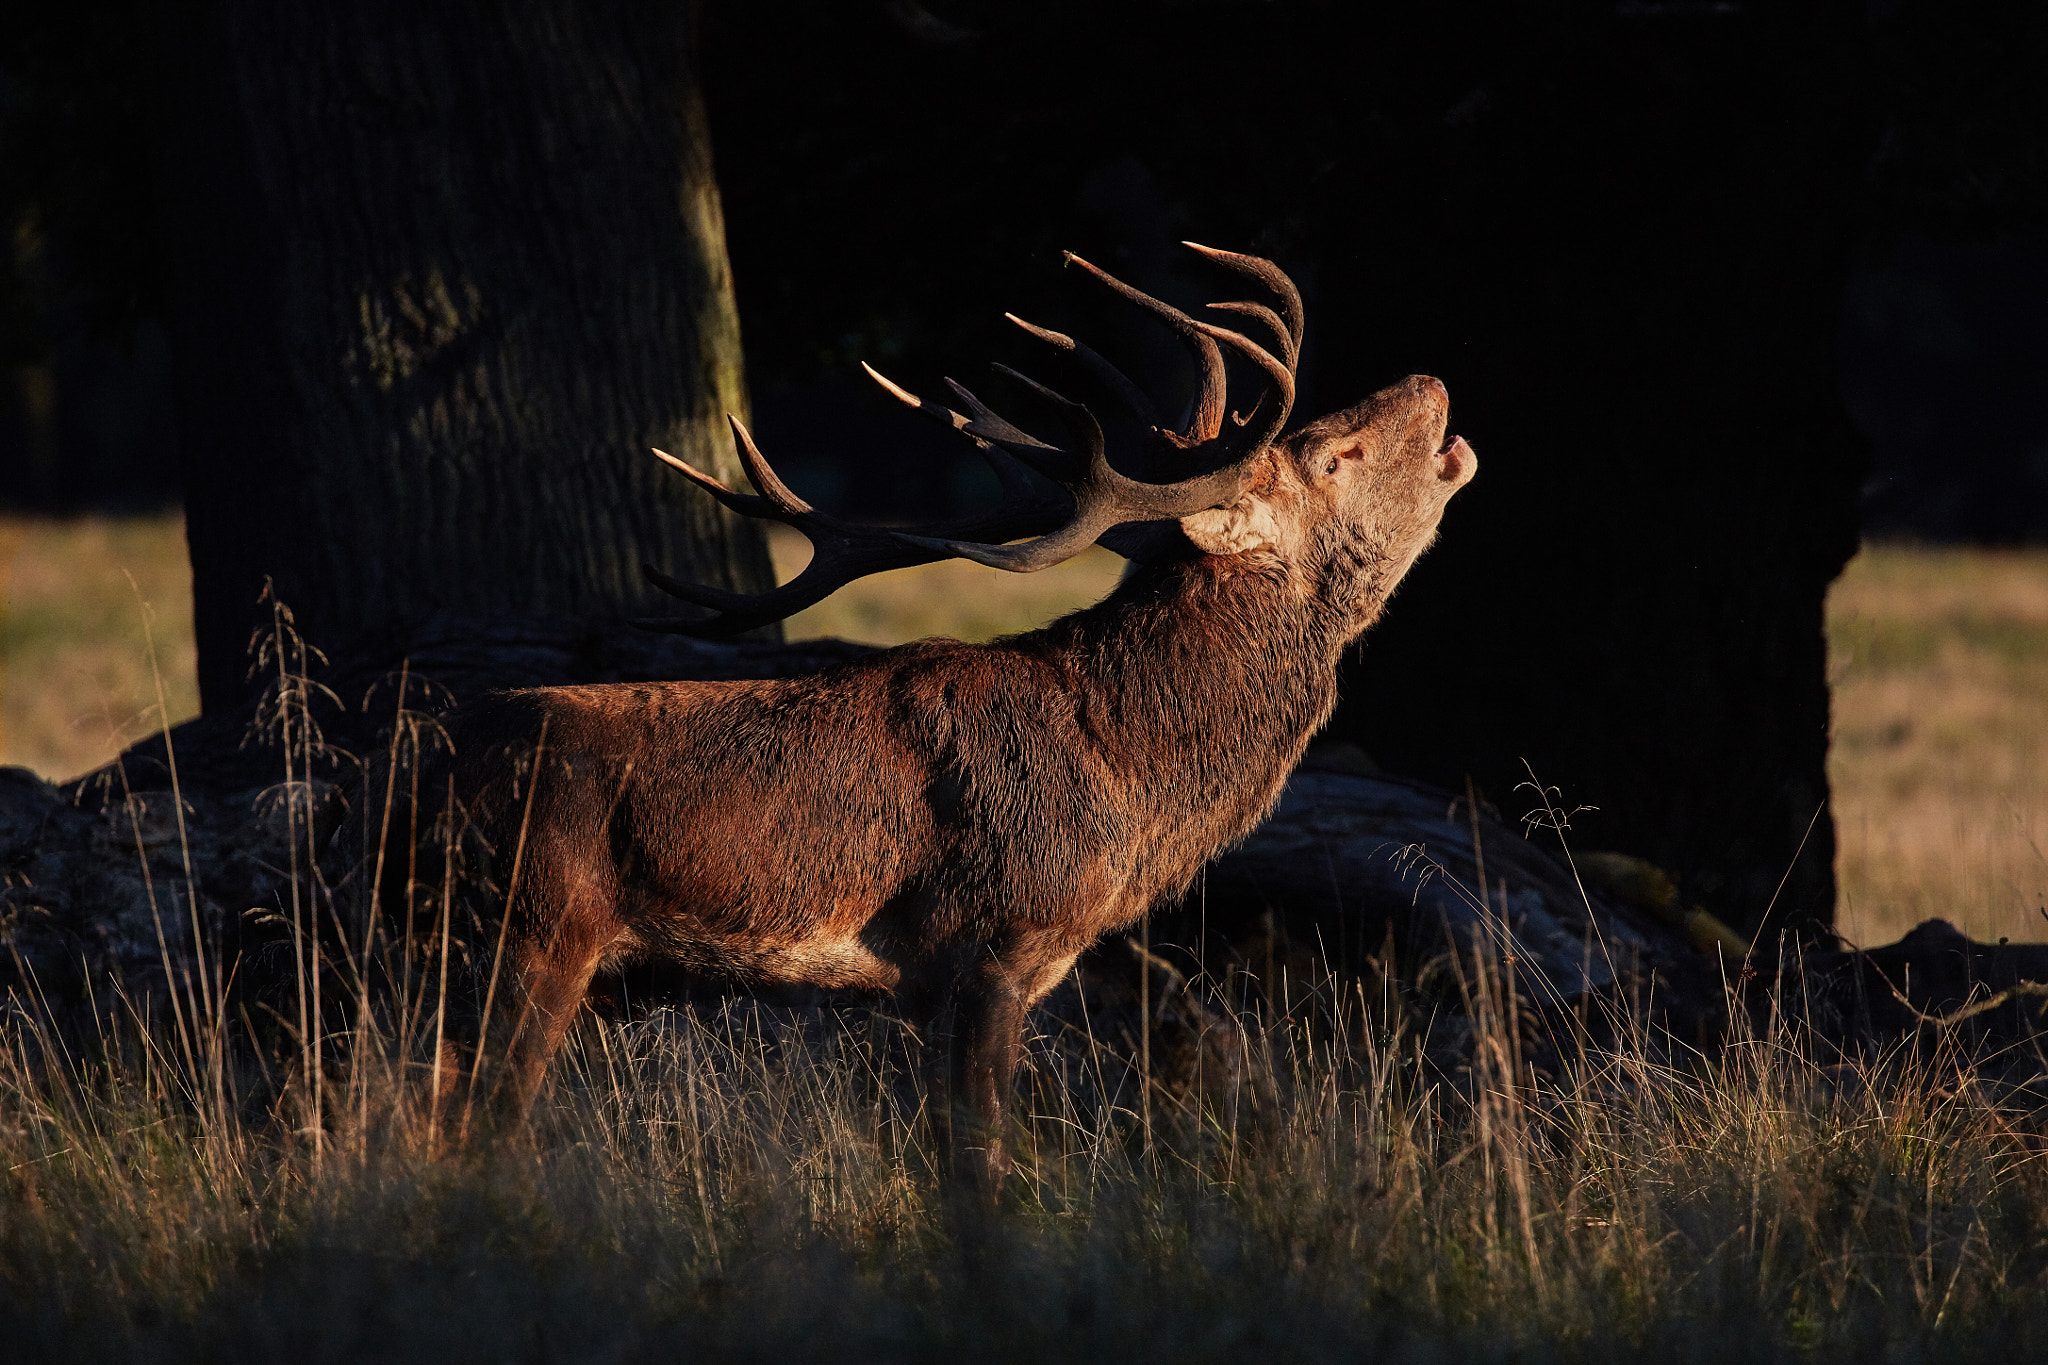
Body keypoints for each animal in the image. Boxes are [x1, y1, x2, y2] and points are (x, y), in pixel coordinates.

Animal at [404, 243, 1474, 1181]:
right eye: (1334, 455)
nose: (1432, 381)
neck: (1123, 772)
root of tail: (403, 778)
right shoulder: (987, 940)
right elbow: (980, 1163)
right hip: (531, 927)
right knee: (475, 1130)